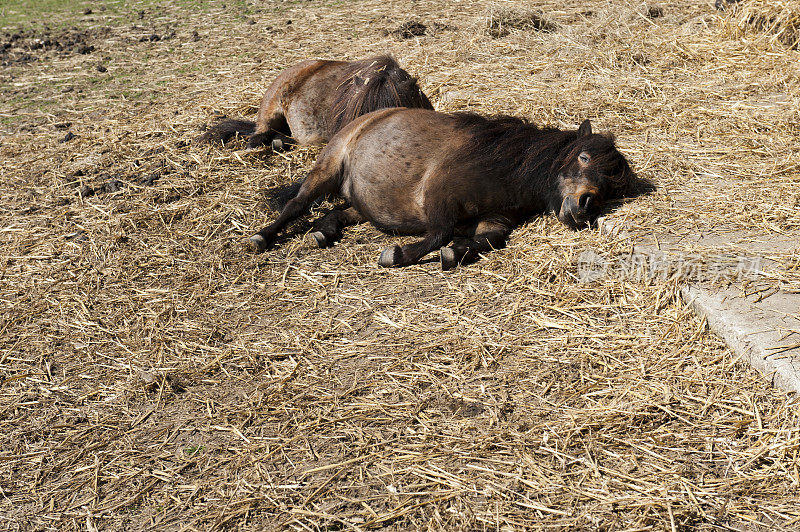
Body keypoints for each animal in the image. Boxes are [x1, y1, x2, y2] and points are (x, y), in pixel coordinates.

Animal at [250, 107, 644, 270]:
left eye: (612, 187)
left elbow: (490, 240)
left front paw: (456, 252)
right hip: (328, 167)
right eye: (583, 157)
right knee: (297, 204)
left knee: (342, 212)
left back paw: (325, 231)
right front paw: (398, 255)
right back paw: (262, 237)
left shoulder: (496, 219)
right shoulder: (440, 196)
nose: (585, 205)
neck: (506, 168)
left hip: (365, 201)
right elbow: (439, 233)